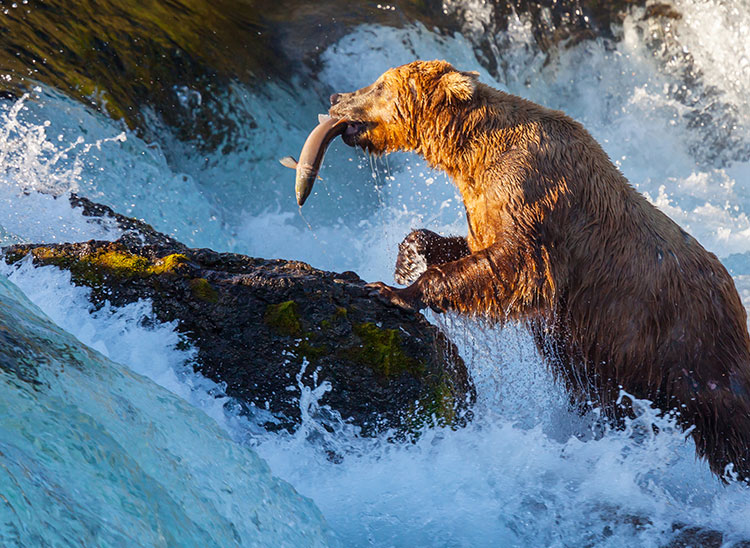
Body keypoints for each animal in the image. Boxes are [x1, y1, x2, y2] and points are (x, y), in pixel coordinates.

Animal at [328, 59, 750, 481]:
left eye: (380, 85)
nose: (336, 98)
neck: (472, 154)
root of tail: (734, 293)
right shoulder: (486, 204)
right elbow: (471, 249)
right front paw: (408, 259)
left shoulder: (534, 196)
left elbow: (515, 267)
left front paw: (393, 290)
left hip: (690, 344)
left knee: (730, 419)